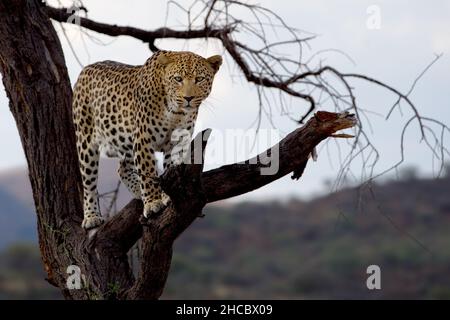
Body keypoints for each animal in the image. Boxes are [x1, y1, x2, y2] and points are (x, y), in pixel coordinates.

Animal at [71, 50, 223, 229]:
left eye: (199, 79)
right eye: (178, 79)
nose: (188, 98)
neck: (176, 113)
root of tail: (85, 69)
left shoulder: (178, 142)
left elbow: (171, 168)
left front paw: (166, 196)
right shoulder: (144, 138)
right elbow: (148, 170)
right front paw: (153, 203)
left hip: (125, 140)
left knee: (122, 168)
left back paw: (137, 190)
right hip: (86, 139)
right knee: (89, 182)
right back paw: (91, 216)